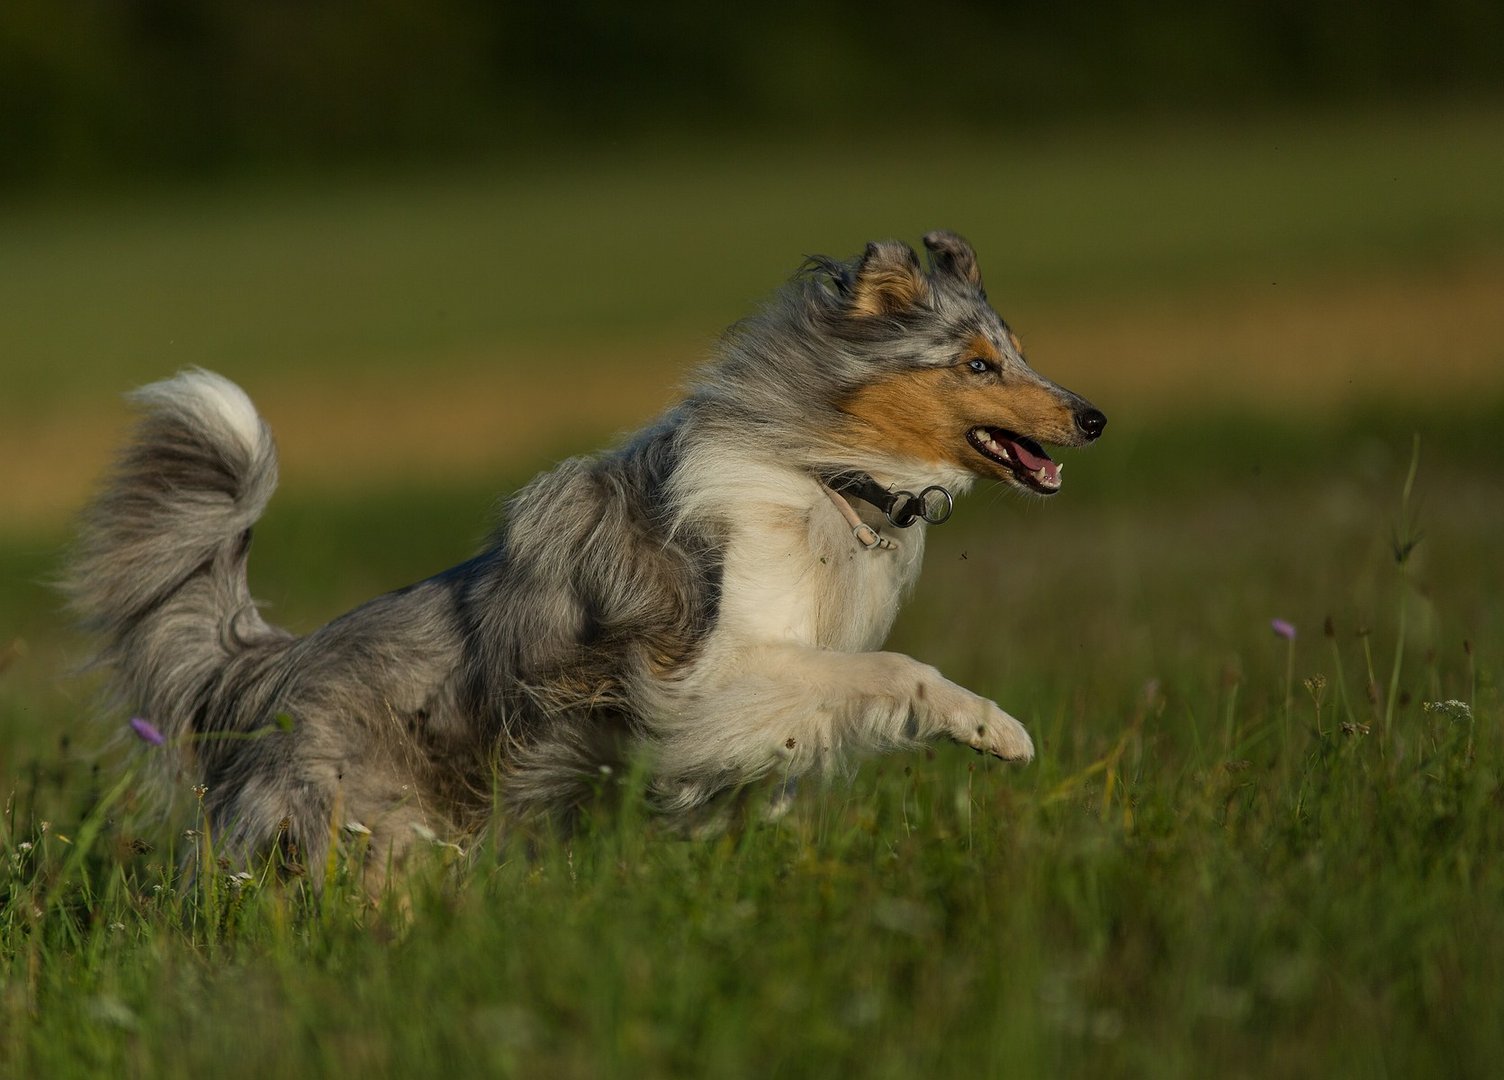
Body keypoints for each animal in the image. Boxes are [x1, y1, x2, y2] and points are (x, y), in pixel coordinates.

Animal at [67, 230, 1106, 878]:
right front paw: (995, 729)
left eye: (1017, 351)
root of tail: (268, 668)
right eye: (977, 364)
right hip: (374, 827)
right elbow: (890, 671)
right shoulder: (700, 685)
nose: (1093, 417)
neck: (826, 473)